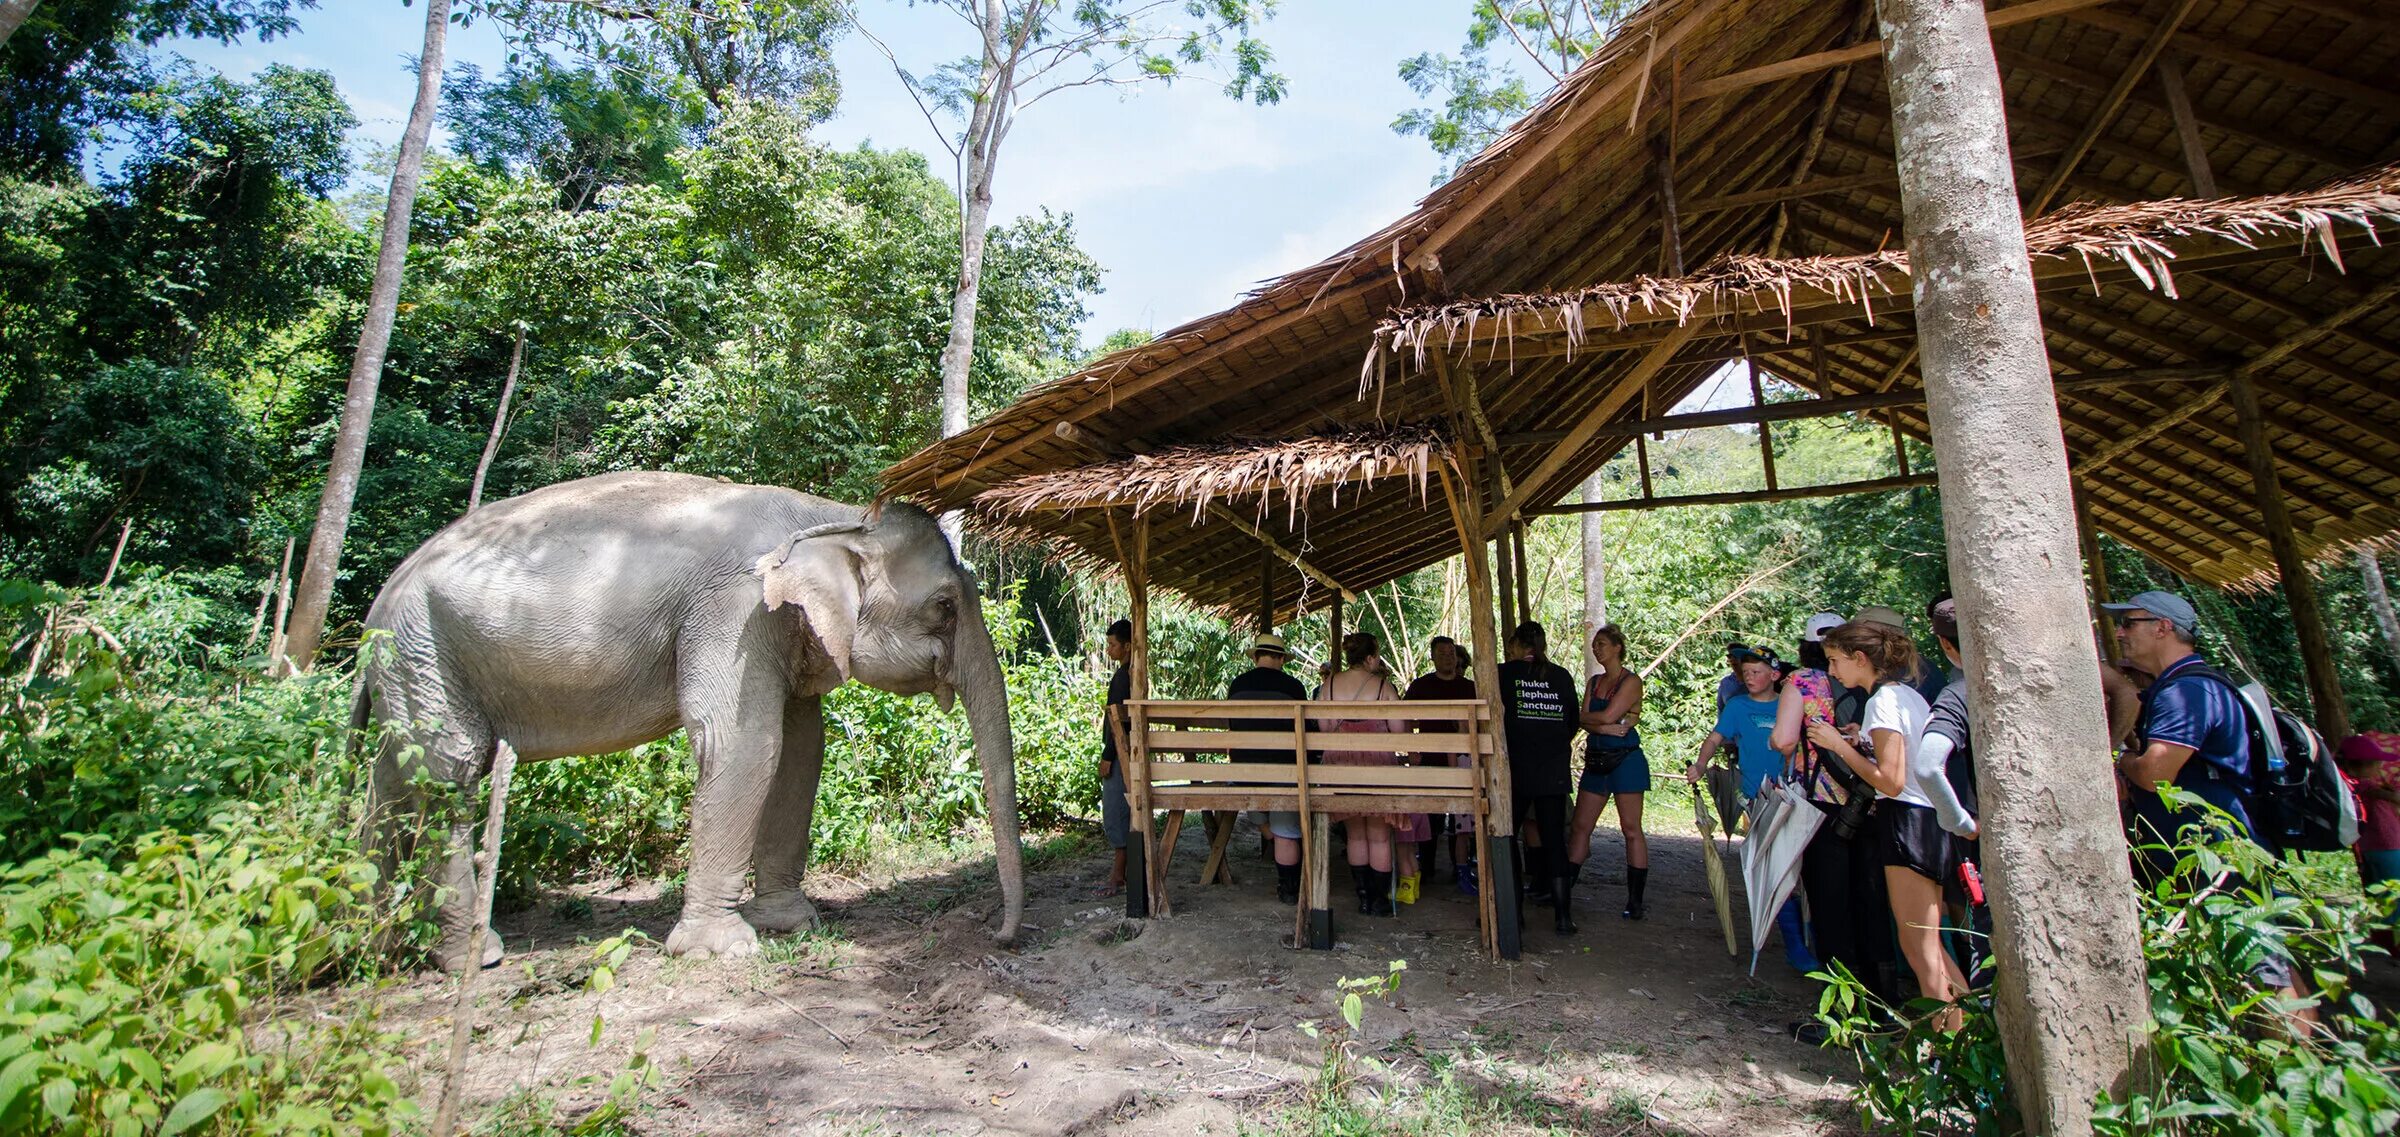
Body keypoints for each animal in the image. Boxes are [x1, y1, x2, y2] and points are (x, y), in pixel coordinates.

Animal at [350, 470, 1017, 969]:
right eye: (944, 606)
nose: (1001, 935)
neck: (837, 516)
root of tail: (382, 596)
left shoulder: (780, 628)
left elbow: (802, 748)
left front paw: (791, 924)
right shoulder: (734, 611)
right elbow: (743, 743)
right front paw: (722, 950)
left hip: (408, 663)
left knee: (394, 781)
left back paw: (377, 945)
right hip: (423, 649)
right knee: (449, 773)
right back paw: (471, 955)